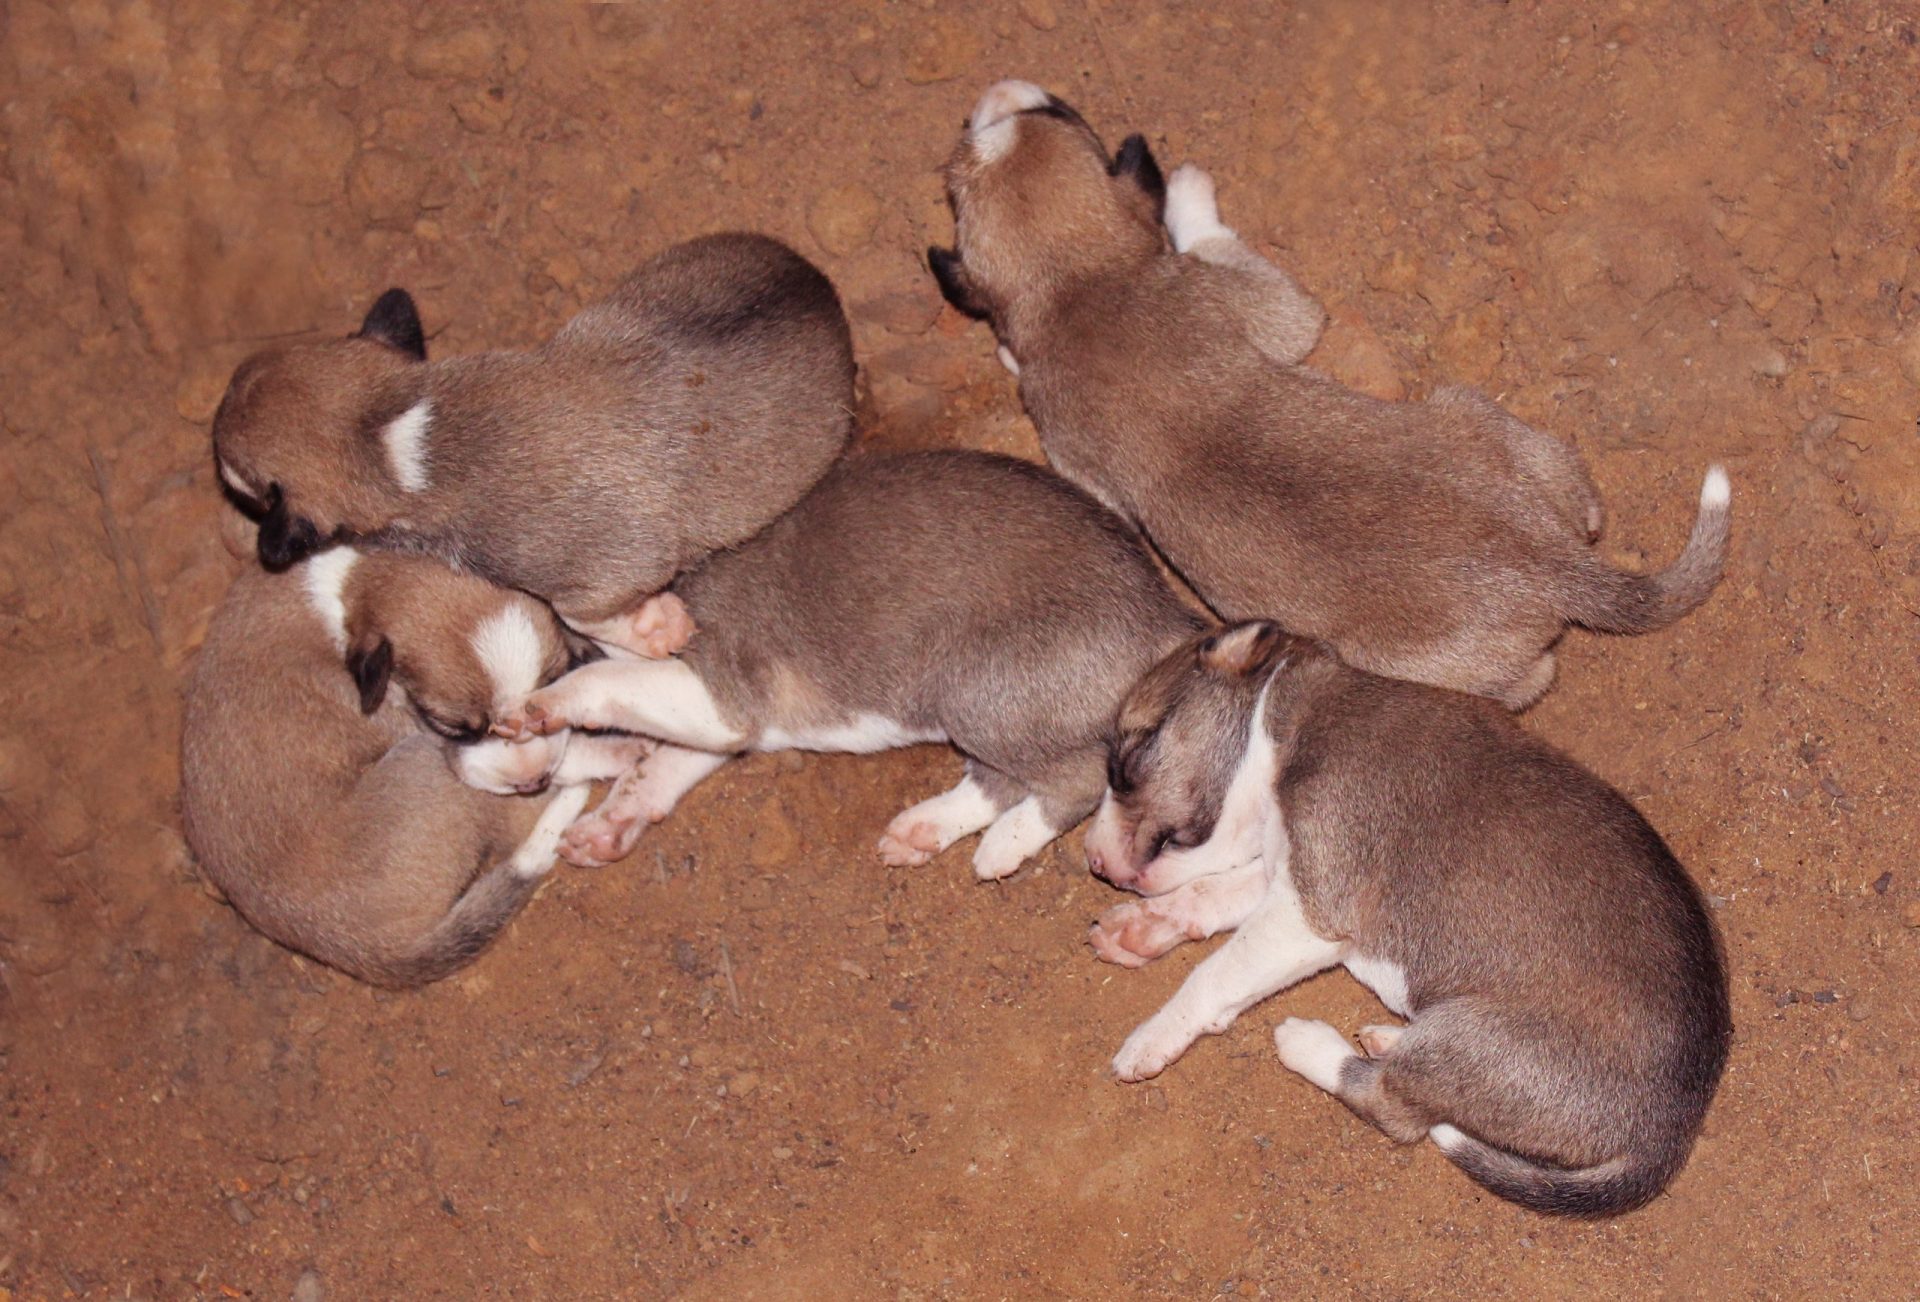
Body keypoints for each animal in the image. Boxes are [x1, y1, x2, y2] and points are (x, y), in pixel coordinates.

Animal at [180, 549, 645, 990]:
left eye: (547, 690)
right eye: (453, 728)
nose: (534, 779)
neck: (351, 587)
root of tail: (365, 952)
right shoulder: (431, 741)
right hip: (429, 765)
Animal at [204, 233, 856, 656]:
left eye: (239, 479)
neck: (392, 431)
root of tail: (820, 286)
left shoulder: (613, 565)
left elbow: (584, 613)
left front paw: (653, 627)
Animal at [503, 451, 1205, 887]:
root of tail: (1161, 611)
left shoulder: (722, 699)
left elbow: (605, 686)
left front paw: (542, 706)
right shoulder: (724, 725)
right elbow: (658, 765)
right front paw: (609, 823)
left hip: (973, 688)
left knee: (1072, 780)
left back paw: (1002, 844)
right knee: (1000, 780)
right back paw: (924, 830)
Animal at [925, 79, 1728, 714]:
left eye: (1059, 112)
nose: (996, 93)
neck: (1081, 286)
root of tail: (1548, 561)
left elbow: (1220, 248)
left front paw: (1186, 191)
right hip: (1476, 417)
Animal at [1090, 626, 1735, 1221]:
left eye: (1126, 761)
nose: (1093, 863)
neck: (1287, 723)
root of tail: (1668, 1136)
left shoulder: (1310, 911)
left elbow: (1213, 974)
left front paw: (1150, 1036)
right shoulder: (1281, 880)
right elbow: (1206, 896)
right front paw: (1135, 930)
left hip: (1465, 1039)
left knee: (1393, 1106)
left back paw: (1309, 1043)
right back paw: (1385, 1037)